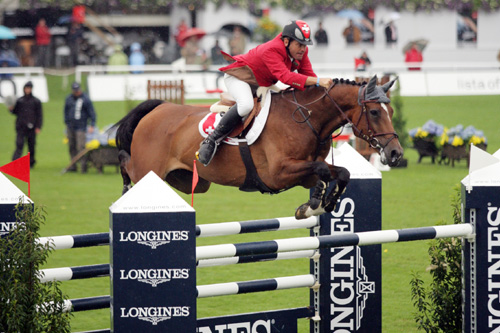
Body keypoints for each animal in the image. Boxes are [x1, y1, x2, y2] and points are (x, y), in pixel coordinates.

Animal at [113, 76, 402, 219]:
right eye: (375, 112)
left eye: (390, 111)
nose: (396, 153)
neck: (306, 118)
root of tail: (158, 108)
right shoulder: (278, 173)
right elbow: (323, 169)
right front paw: (317, 204)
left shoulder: (303, 173)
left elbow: (340, 172)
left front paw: (319, 204)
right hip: (149, 170)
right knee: (127, 163)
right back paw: (125, 187)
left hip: (187, 180)